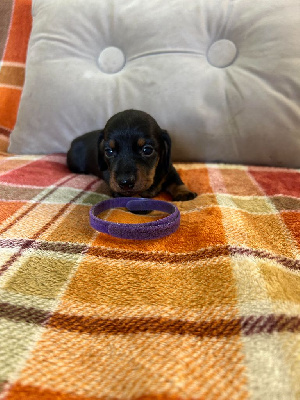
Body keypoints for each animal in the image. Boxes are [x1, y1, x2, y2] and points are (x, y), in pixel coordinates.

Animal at [67, 108, 197, 200]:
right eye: (109, 151)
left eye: (147, 150)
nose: (125, 183)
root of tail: (74, 142)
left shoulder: (168, 169)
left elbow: (176, 180)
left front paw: (184, 192)